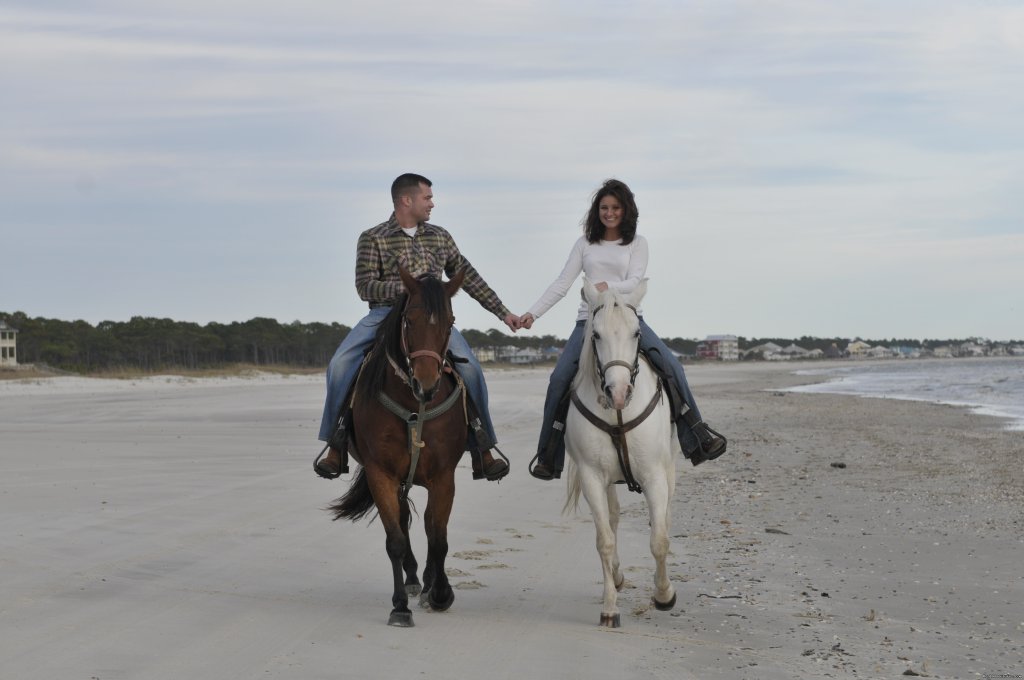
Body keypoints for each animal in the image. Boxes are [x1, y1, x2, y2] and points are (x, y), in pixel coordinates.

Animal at [327, 266, 468, 626]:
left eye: (450, 321)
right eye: (409, 320)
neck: (414, 406)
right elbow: (396, 540)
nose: (426, 384)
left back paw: (429, 584)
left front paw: (441, 594)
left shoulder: (444, 476)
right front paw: (400, 606)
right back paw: (415, 580)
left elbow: (439, 536)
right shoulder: (381, 474)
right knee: (405, 520)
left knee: (430, 526)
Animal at [561, 278, 679, 630]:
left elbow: (659, 539)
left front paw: (664, 595)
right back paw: (614, 577)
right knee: (612, 519)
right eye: (596, 335)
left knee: (664, 518)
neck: (617, 415)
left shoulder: (655, 476)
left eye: (636, 333)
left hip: (668, 470)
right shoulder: (592, 477)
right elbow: (605, 540)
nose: (618, 392)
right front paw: (610, 609)